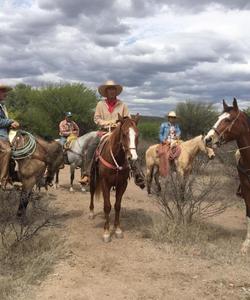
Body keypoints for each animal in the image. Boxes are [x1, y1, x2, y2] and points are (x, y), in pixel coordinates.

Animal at [89, 113, 141, 243]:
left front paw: (117, 229)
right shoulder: (105, 183)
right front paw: (106, 232)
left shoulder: (122, 184)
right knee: (92, 192)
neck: (116, 158)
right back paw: (91, 212)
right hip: (93, 179)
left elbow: (117, 206)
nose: (132, 157)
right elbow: (107, 206)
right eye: (124, 134)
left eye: (137, 135)